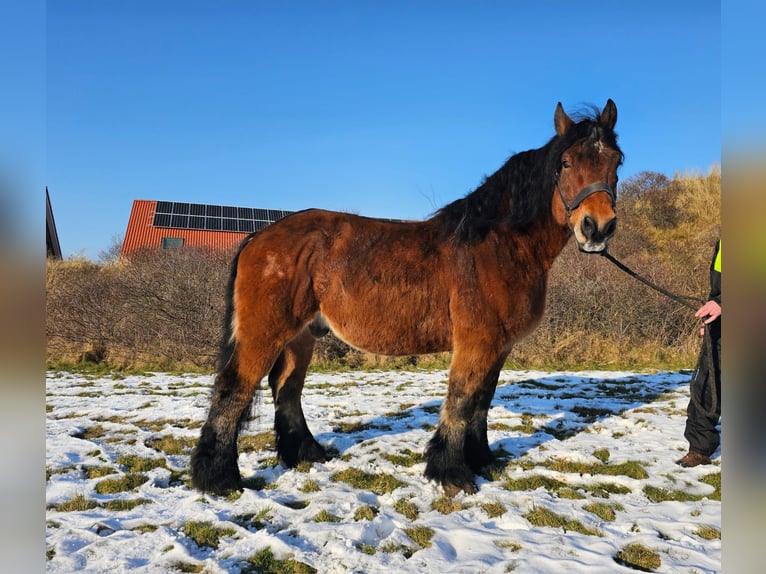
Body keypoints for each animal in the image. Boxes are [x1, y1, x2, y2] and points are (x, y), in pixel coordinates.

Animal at [190, 99, 624, 496]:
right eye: (565, 163)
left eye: (617, 162)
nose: (597, 228)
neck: (498, 244)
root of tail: (259, 236)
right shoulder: (477, 342)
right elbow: (462, 400)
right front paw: (451, 472)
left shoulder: (498, 346)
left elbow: (481, 403)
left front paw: (483, 460)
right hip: (266, 331)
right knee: (234, 388)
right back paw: (218, 479)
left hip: (301, 335)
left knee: (287, 388)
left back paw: (305, 454)